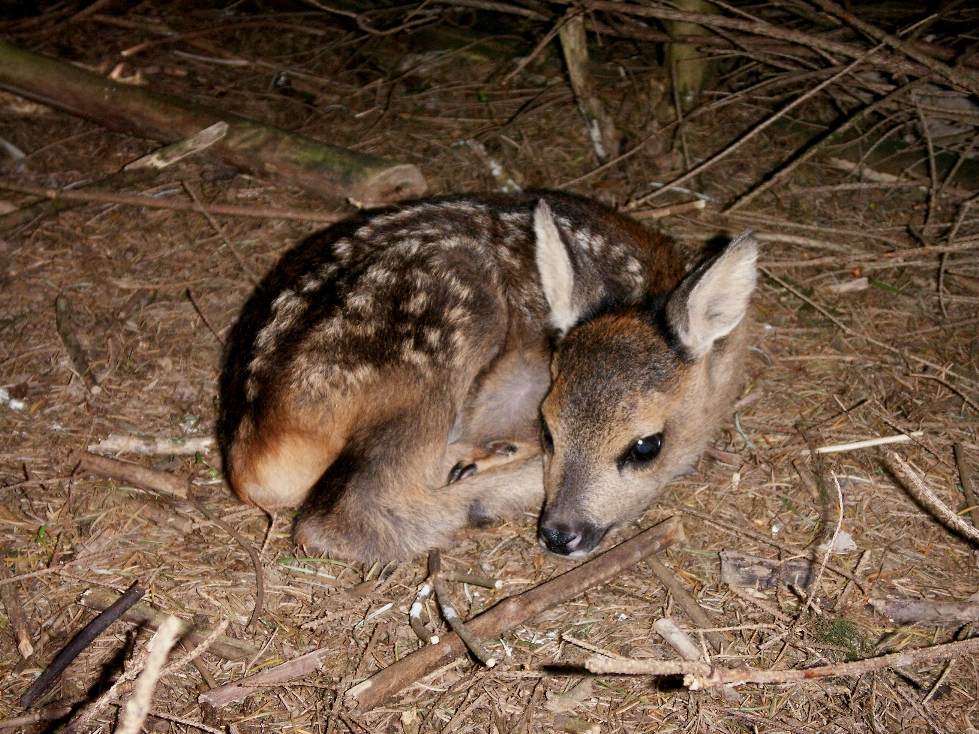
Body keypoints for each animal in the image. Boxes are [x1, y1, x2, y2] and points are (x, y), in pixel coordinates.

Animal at [220, 191, 756, 564]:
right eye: (549, 430)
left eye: (645, 446)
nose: (560, 534)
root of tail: (256, 451)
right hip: (448, 322)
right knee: (343, 516)